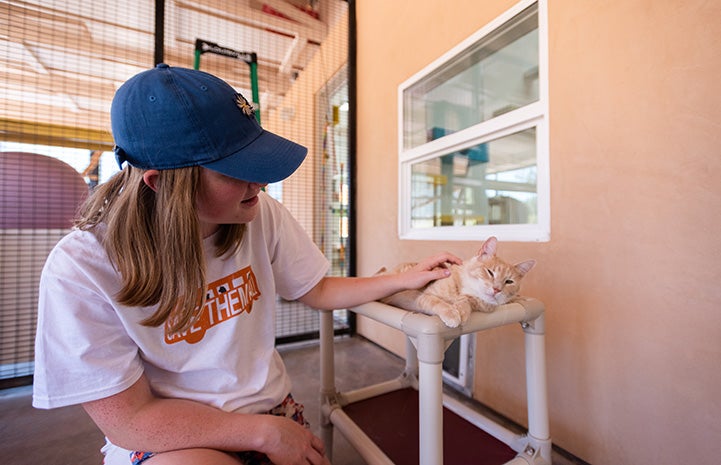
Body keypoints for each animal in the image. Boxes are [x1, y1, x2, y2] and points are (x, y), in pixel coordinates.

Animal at [376, 236, 536, 326]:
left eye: (509, 282)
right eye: (490, 272)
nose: (496, 289)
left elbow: (466, 301)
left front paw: (463, 310)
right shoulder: (423, 297)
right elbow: (439, 303)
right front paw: (452, 314)